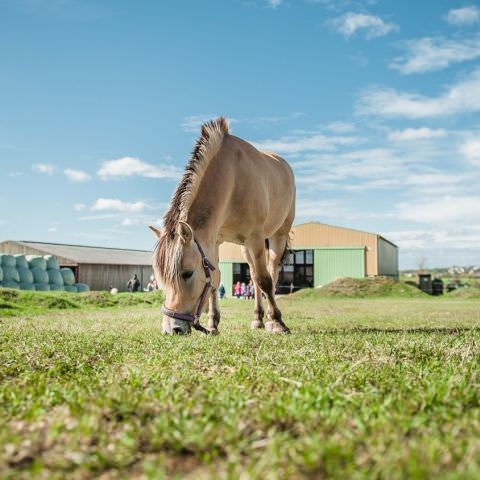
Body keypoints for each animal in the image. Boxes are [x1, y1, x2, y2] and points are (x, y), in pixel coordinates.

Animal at [150, 117, 294, 334]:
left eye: (187, 273)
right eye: (159, 279)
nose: (171, 329)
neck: (233, 179)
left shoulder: (256, 238)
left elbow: (265, 280)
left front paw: (278, 322)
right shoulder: (214, 241)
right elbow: (216, 280)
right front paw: (213, 323)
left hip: (278, 235)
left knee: (271, 272)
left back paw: (271, 319)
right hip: (245, 247)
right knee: (253, 276)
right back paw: (258, 319)